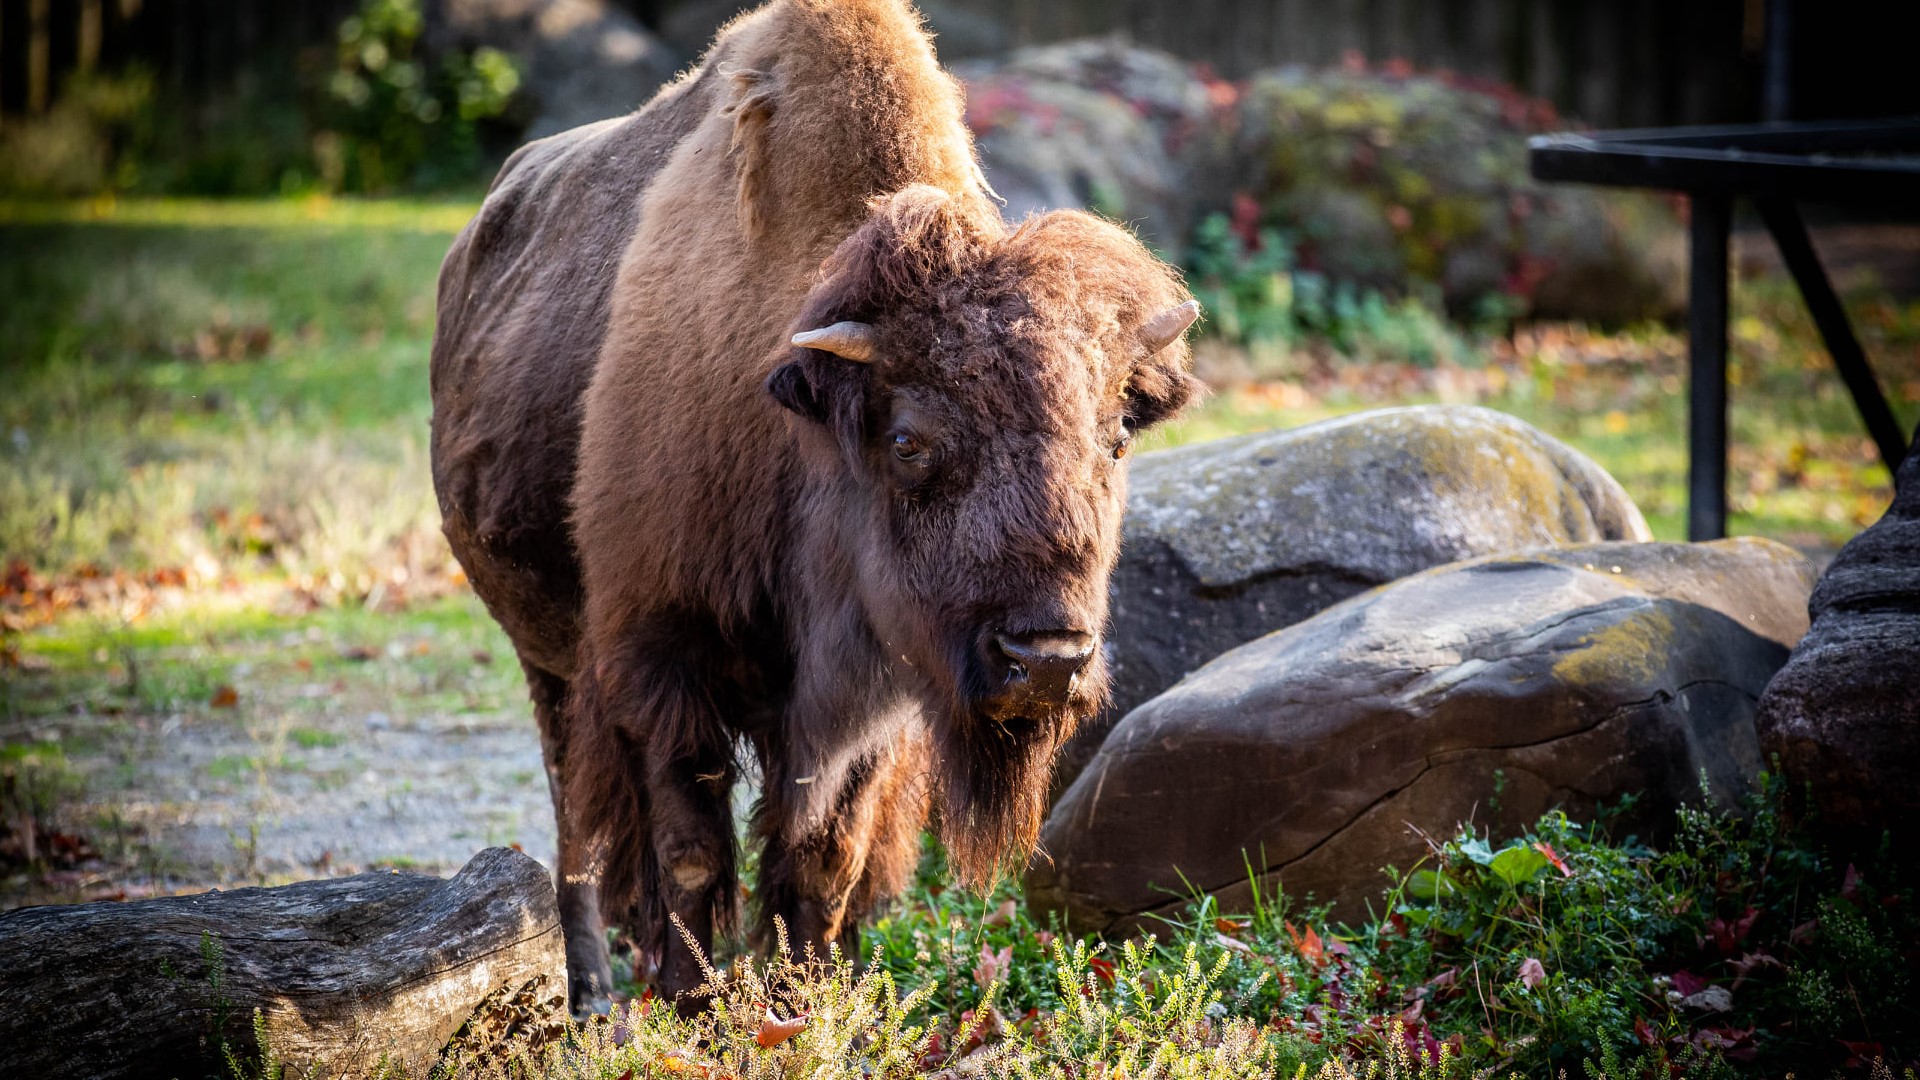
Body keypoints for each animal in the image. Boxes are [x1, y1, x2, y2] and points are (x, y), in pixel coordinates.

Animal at [432, 0, 1198, 1014]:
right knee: (577, 828)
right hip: (548, 662)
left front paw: (805, 1004)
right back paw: (595, 991)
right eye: (908, 440)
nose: (1047, 660)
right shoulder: (662, 664)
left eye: (1114, 437)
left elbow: (821, 859)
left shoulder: (871, 706)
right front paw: (697, 1005)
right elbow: (691, 853)